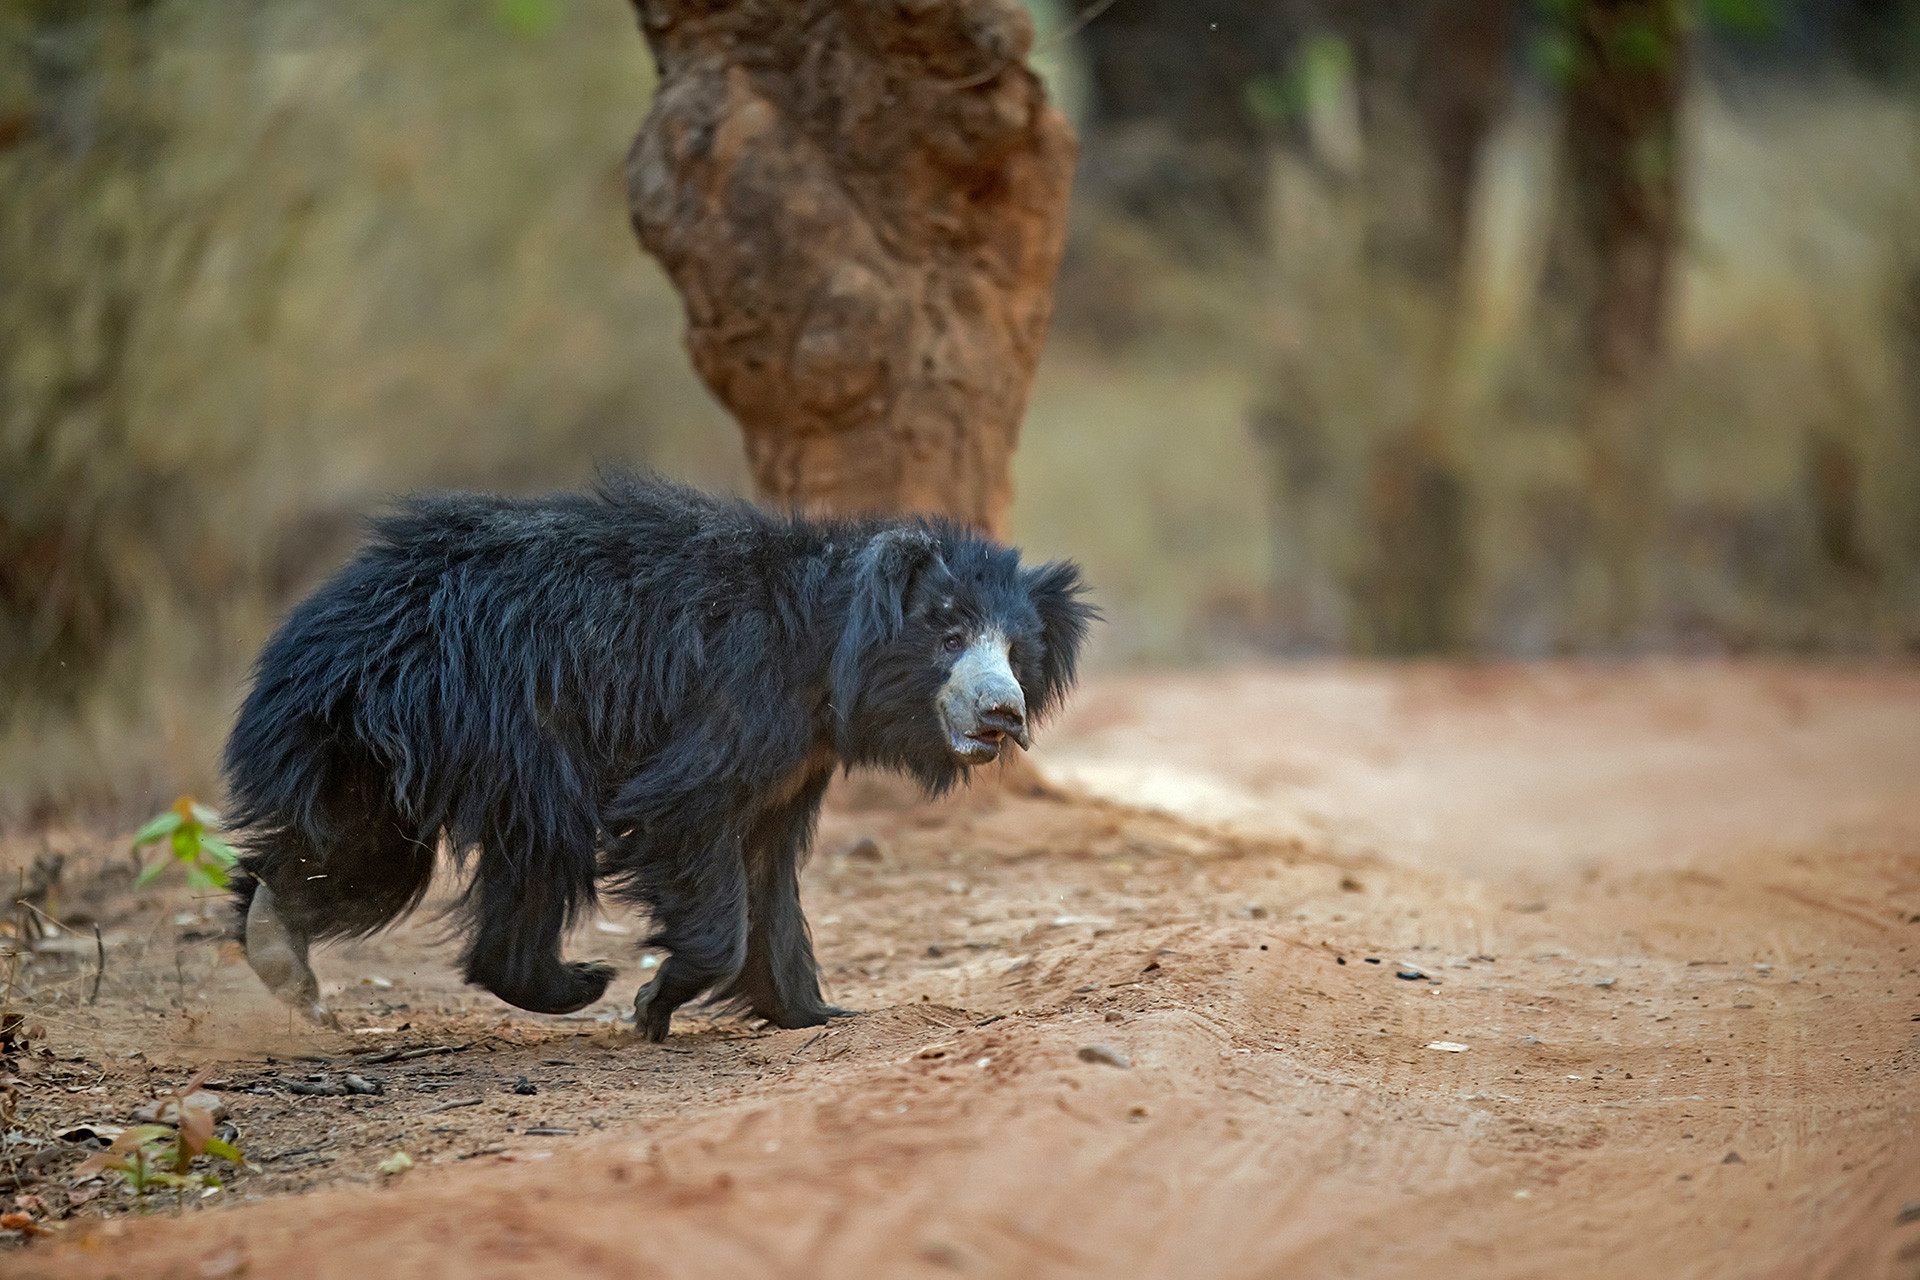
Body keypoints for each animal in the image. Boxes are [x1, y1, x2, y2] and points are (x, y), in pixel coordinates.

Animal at [223, 473, 1093, 1041]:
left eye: (1018, 654)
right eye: (948, 637)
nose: (1003, 715)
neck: (828, 657)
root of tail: (320, 628)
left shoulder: (798, 762)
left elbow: (769, 872)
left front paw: (813, 1011)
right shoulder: (740, 700)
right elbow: (685, 815)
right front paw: (655, 1003)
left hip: (379, 748)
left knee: (366, 853)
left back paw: (283, 943)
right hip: (493, 714)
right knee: (528, 841)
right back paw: (575, 983)